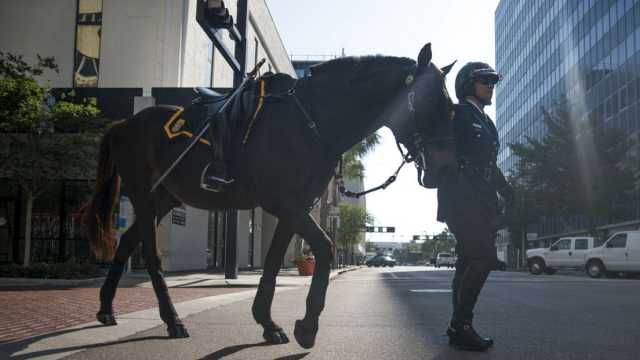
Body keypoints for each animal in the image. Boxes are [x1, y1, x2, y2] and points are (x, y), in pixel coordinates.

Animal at [82, 42, 458, 348]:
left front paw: (268, 322)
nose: (444, 167)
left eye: (451, 107)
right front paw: (307, 327)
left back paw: (105, 309)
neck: (310, 120)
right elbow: (325, 248)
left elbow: (276, 260)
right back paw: (172, 320)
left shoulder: (296, 206)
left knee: (127, 242)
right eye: (429, 100)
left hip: (164, 198)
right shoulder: (282, 202)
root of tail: (124, 124)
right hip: (145, 196)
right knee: (150, 254)